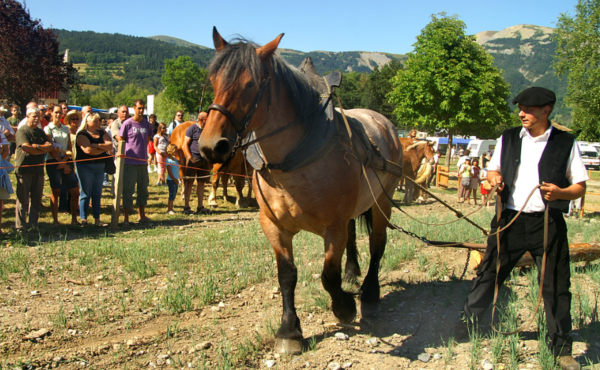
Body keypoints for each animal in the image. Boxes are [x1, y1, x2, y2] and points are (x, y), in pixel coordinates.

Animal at [200, 28, 404, 352]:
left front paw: (344, 307)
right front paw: (289, 331)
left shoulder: (333, 228)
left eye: (251, 84)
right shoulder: (273, 226)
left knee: (377, 244)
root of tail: (386, 124)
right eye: (214, 81)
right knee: (354, 237)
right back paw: (353, 272)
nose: (211, 145)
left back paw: (370, 294)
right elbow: (287, 275)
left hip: (383, 200)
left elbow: (328, 276)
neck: (291, 163)